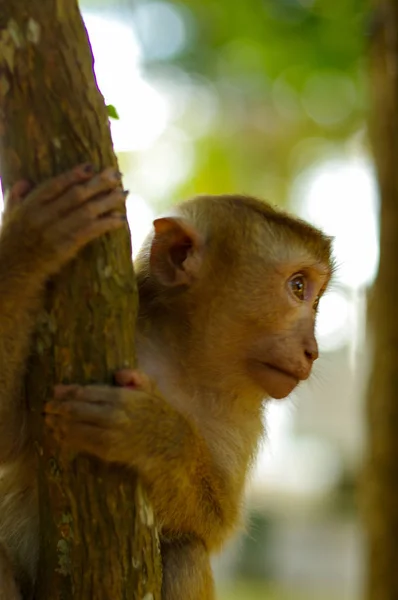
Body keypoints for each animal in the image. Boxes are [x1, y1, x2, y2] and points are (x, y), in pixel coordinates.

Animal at [0, 165, 332, 600]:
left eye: (314, 297)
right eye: (298, 287)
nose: (312, 350)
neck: (183, 358)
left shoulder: (242, 417)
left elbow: (215, 524)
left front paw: (154, 435)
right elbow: (9, 432)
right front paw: (30, 243)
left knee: (187, 554)